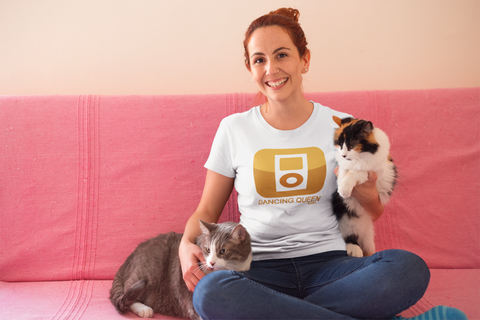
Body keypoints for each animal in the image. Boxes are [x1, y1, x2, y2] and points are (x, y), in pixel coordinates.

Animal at [109, 221, 251, 318]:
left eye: (223, 251)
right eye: (208, 250)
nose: (211, 262)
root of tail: (128, 259)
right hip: (148, 271)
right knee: (127, 292)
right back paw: (144, 309)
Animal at [330, 116, 398, 258]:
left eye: (351, 146)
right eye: (340, 145)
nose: (343, 155)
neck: (362, 155)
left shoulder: (373, 170)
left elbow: (356, 172)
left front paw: (344, 189)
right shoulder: (343, 165)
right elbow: (343, 171)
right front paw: (341, 184)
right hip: (347, 218)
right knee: (350, 236)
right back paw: (354, 250)